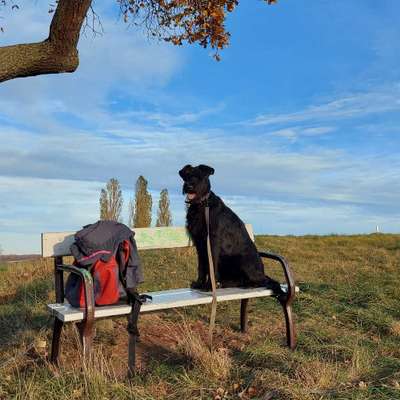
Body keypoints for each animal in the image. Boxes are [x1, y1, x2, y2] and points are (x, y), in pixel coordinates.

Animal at [178, 164, 282, 292]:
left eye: (200, 176)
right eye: (187, 176)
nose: (189, 186)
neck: (202, 205)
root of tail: (262, 273)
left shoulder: (212, 242)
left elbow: (212, 265)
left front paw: (209, 286)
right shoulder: (199, 243)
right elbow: (201, 266)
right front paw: (199, 283)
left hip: (242, 260)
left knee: (262, 281)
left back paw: (248, 284)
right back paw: (224, 283)